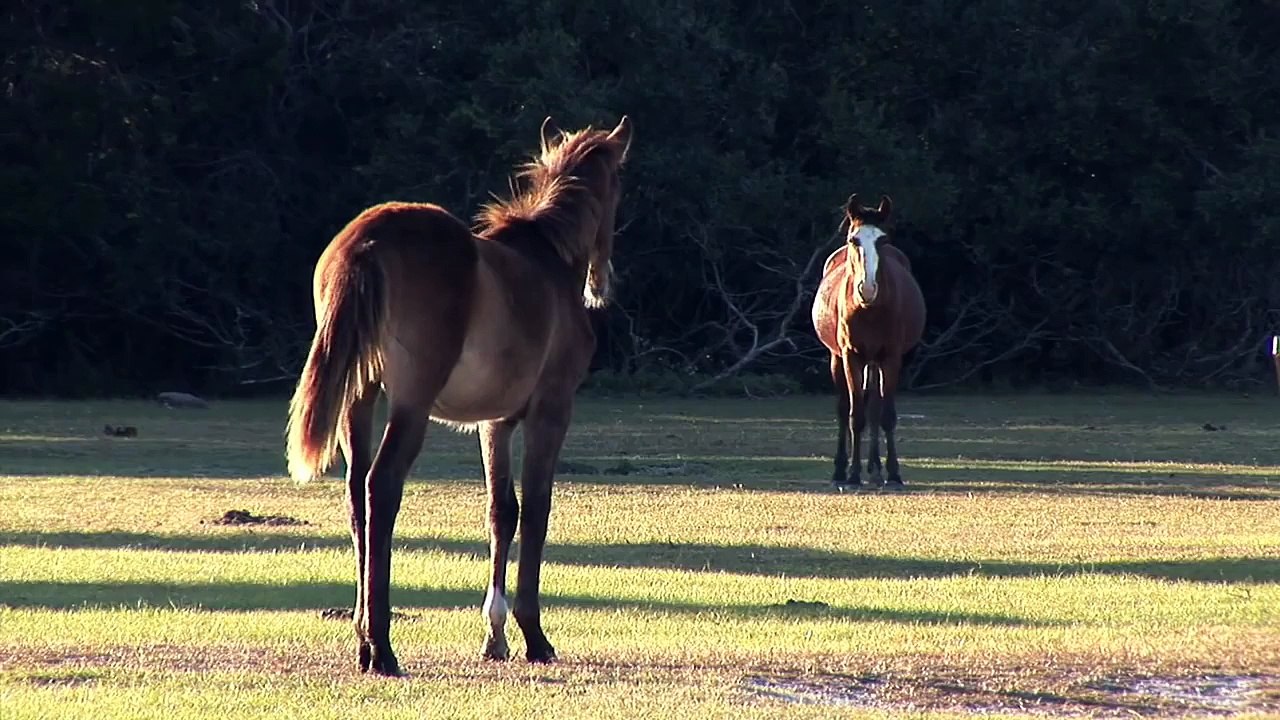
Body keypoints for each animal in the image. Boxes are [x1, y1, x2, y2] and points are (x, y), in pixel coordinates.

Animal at [285, 115, 633, 676]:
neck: (548, 261)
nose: (601, 285)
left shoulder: (496, 423)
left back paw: (362, 642)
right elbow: (536, 510)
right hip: (411, 403)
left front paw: (495, 637)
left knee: (357, 492)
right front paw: (534, 636)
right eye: (619, 184)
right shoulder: (550, 411)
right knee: (382, 485)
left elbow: (501, 512)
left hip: (360, 398)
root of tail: (366, 243)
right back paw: (382, 648)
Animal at [811, 193, 926, 490]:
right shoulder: (851, 356)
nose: (868, 289)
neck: (869, 309)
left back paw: (875, 470)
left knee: (874, 406)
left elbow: (885, 415)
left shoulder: (891, 357)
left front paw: (894, 474)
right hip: (837, 359)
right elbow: (855, 416)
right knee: (845, 409)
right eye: (855, 240)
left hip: (874, 362)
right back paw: (841, 471)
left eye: (882, 241)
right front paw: (852, 475)